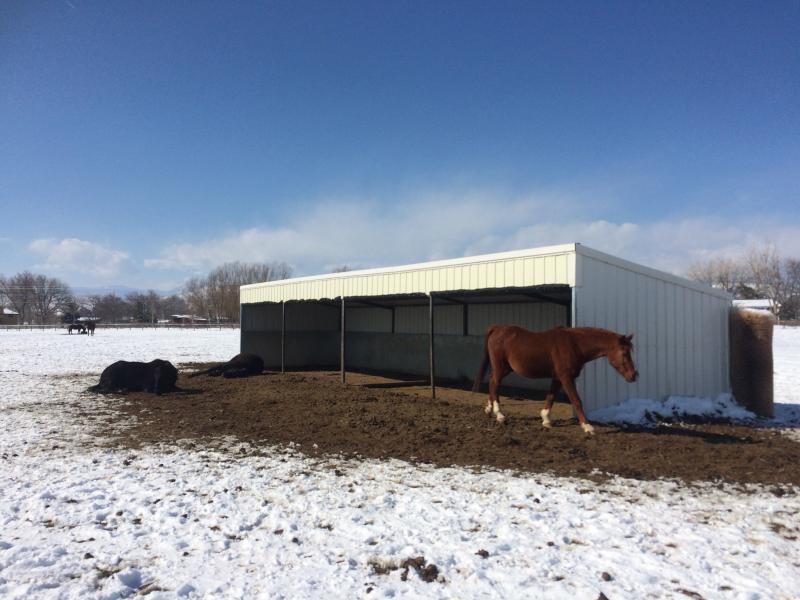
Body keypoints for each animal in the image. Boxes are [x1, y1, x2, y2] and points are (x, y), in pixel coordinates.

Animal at [473, 326, 638, 435]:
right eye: (624, 353)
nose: (634, 375)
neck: (574, 344)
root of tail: (497, 329)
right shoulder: (566, 377)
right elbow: (576, 400)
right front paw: (587, 427)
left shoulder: (558, 377)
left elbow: (551, 397)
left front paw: (546, 420)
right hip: (500, 367)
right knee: (495, 383)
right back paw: (499, 414)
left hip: (505, 368)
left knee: (492, 381)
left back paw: (489, 410)